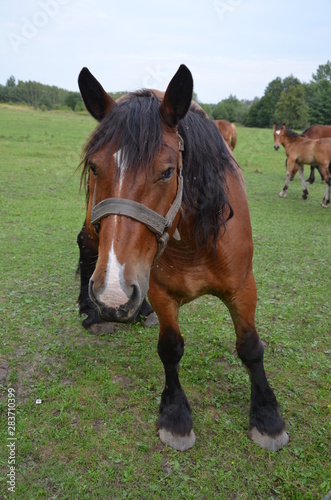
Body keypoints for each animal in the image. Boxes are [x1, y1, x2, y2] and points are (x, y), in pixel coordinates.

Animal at [76, 63, 290, 454]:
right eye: (95, 168)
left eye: (167, 171)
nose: (113, 295)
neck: (193, 239)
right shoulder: (159, 291)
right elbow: (170, 348)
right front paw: (175, 415)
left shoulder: (243, 287)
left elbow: (251, 347)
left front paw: (267, 416)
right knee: (85, 243)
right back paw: (91, 310)